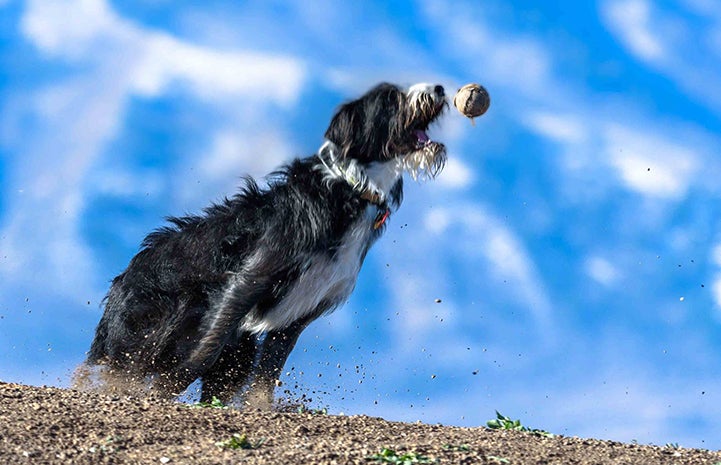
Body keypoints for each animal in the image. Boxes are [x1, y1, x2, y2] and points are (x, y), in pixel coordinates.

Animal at [81, 81, 448, 408]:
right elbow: (208, 347)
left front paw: (260, 407)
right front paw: (166, 390)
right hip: (159, 324)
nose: (440, 88)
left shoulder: (302, 310)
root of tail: (119, 284)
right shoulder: (251, 277)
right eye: (390, 97)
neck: (351, 189)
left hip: (236, 354)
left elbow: (269, 369)